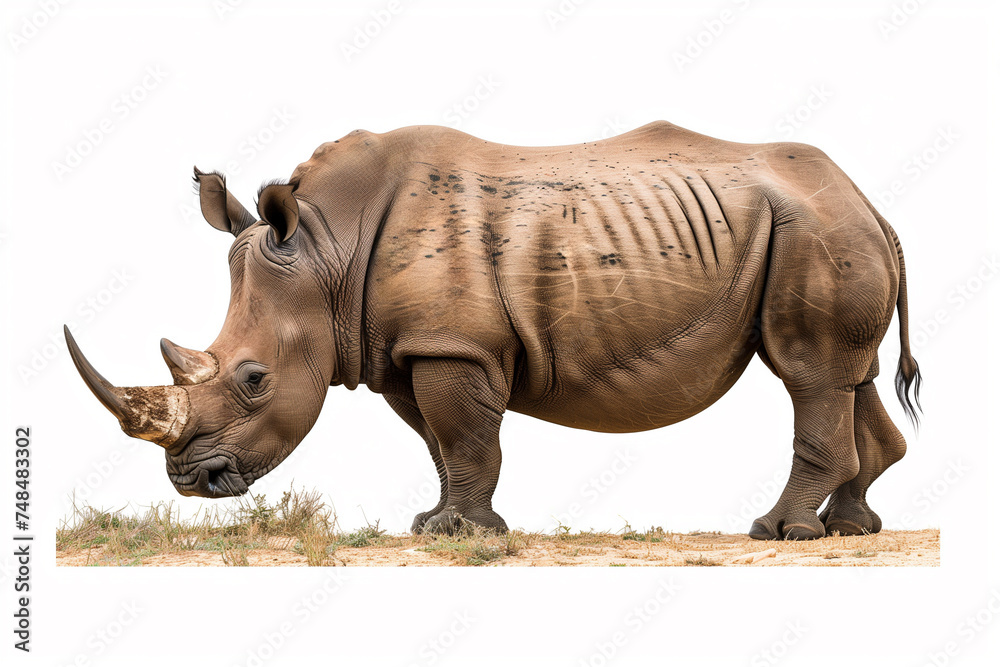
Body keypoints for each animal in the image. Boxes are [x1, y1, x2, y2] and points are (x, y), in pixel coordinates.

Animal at [66, 121, 921, 540]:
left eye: (253, 379)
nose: (190, 481)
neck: (326, 249)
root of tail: (871, 199)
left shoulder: (454, 344)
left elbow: (468, 436)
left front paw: (463, 535)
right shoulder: (406, 348)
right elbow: (442, 443)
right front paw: (433, 526)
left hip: (814, 230)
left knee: (808, 373)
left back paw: (781, 533)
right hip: (823, 226)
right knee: (851, 376)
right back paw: (849, 529)